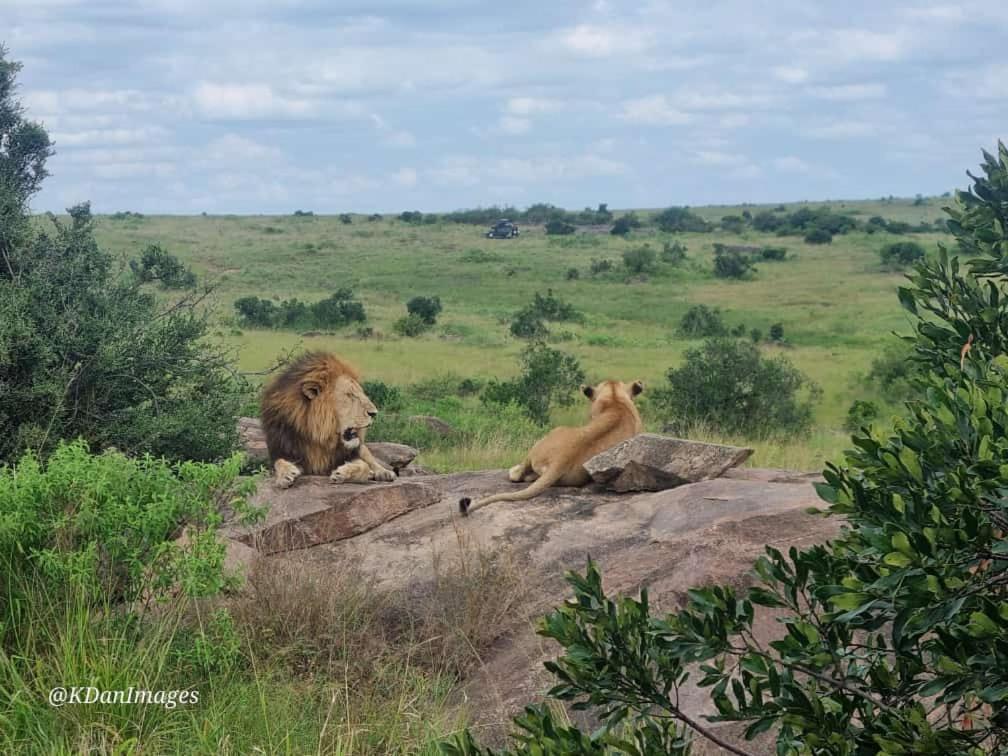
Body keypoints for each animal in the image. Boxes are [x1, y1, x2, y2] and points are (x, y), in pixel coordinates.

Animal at [262, 350, 395, 487]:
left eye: (360, 393)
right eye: (350, 395)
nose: (374, 413)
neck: (319, 435)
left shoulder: (348, 455)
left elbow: (365, 466)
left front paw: (342, 474)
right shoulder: (282, 450)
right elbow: (279, 462)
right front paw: (285, 475)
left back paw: (384, 473)